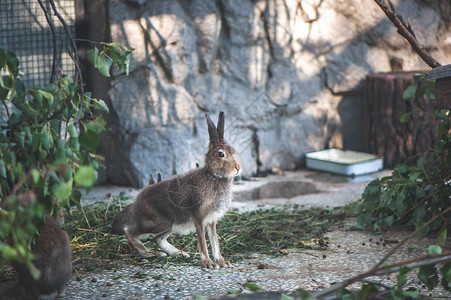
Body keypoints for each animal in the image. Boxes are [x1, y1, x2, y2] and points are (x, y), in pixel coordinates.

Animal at [111, 112, 242, 270]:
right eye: (221, 154)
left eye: (234, 151)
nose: (238, 168)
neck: (213, 175)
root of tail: (138, 200)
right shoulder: (199, 219)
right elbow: (203, 243)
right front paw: (208, 263)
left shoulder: (211, 221)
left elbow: (215, 242)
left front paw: (222, 262)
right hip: (159, 223)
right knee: (129, 231)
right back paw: (149, 253)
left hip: (172, 225)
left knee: (157, 238)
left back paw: (179, 253)